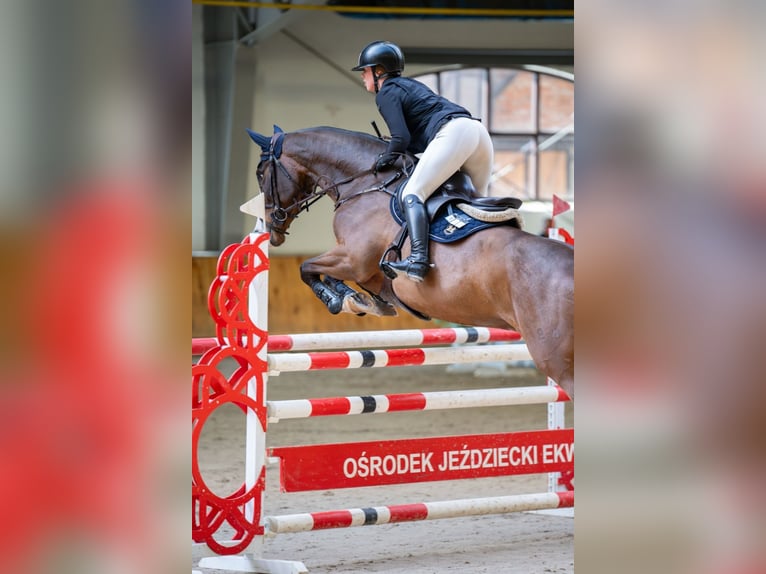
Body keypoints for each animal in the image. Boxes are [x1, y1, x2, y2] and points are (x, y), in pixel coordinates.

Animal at [246, 125, 574, 398]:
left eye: (261, 173)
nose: (269, 229)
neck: (365, 182)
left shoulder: (353, 258)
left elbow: (307, 268)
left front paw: (342, 300)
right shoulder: (363, 270)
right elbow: (329, 276)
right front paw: (359, 299)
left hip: (557, 360)